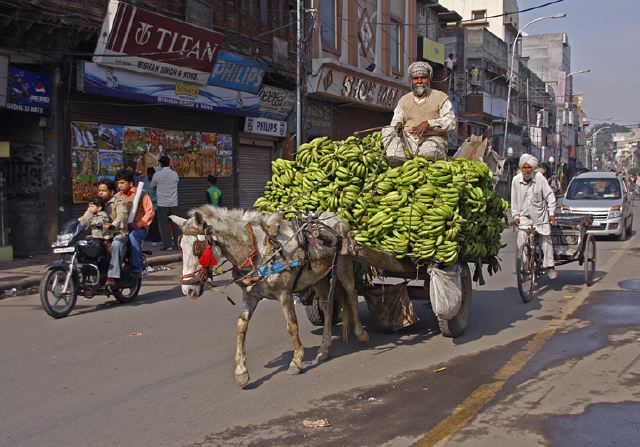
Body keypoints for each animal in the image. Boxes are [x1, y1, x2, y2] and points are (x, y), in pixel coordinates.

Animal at [170, 206, 370, 388]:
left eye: (198, 248)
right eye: (181, 248)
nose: (187, 290)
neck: (258, 250)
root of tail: (336, 217)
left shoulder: (284, 293)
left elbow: (292, 326)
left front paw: (296, 361)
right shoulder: (250, 295)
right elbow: (241, 326)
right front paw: (241, 372)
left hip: (344, 266)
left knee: (351, 295)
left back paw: (361, 333)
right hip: (318, 277)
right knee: (327, 305)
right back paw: (324, 349)